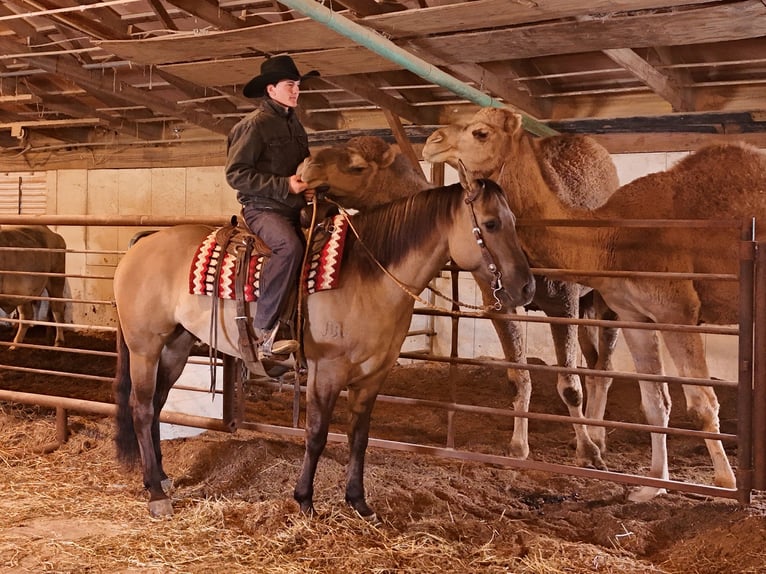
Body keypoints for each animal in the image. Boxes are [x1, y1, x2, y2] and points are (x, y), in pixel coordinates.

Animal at [113, 166, 536, 518]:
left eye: (514, 222)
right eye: (491, 224)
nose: (526, 288)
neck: (367, 276)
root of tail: (142, 244)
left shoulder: (372, 377)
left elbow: (359, 438)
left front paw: (358, 502)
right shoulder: (326, 372)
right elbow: (316, 435)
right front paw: (305, 500)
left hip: (176, 346)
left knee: (157, 404)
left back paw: (160, 478)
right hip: (145, 347)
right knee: (142, 409)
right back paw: (156, 496)